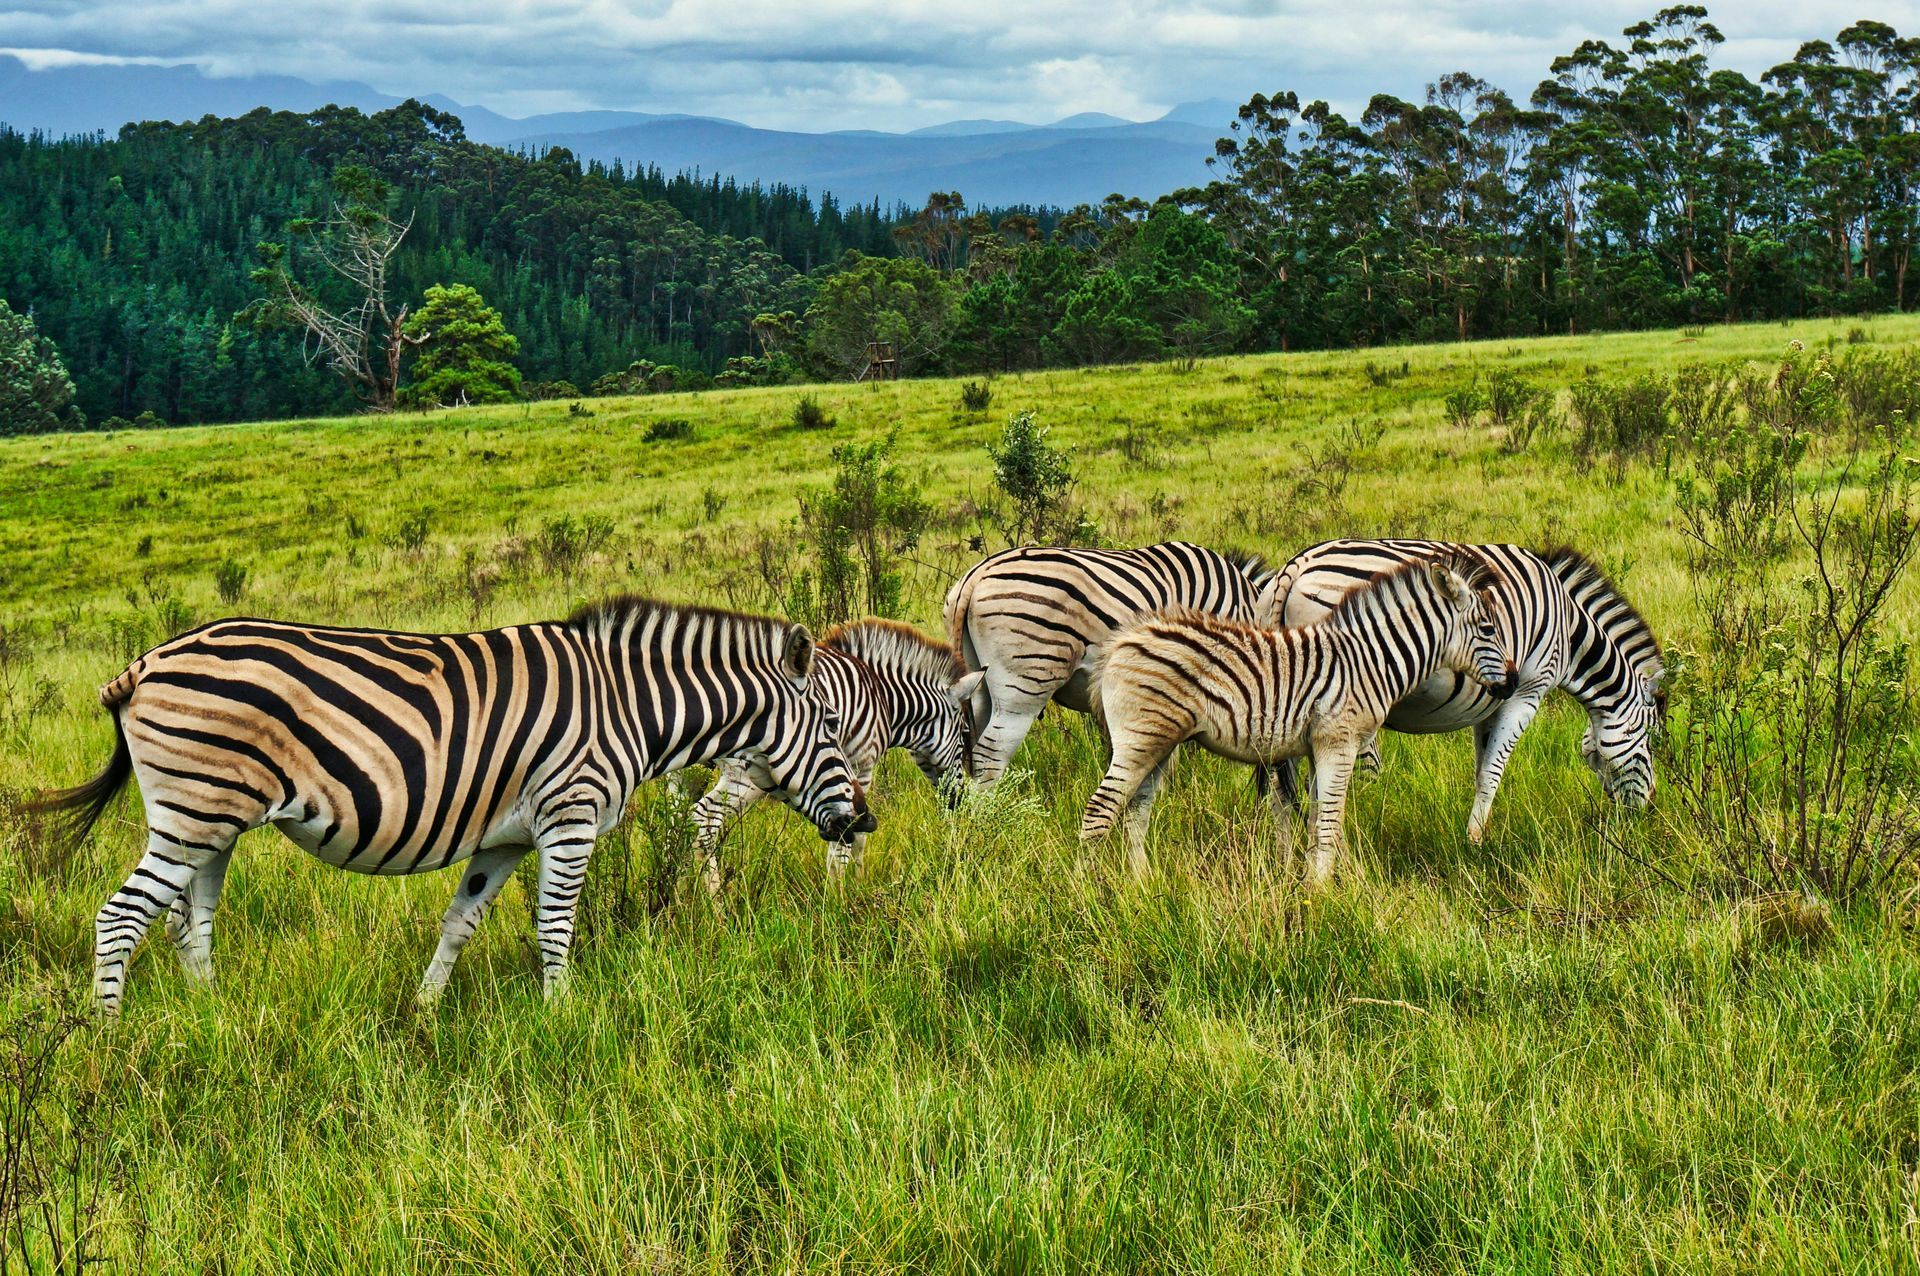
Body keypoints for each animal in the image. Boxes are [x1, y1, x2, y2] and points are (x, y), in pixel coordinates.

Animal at [28, 597, 873, 1015]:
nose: (864, 823)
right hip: (194, 810)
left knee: (188, 923)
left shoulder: (505, 838)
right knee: (122, 917)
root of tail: (142, 664)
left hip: (216, 821)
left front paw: (426, 1011)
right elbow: (555, 925)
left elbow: (460, 922)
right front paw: (562, 1016)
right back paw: (107, 1034)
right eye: (832, 726)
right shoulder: (569, 818)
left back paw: (214, 1020)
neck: (631, 705)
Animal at [690, 618, 984, 888]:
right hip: (749, 777)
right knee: (704, 820)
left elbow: (856, 834)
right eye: (964, 734)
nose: (959, 801)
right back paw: (713, 899)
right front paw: (842, 891)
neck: (884, 697)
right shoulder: (861, 766)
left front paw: (854, 884)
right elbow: (851, 839)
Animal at [1081, 556, 1516, 884]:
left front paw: (1313, 881)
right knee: (1100, 809)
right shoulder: (1338, 742)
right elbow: (1329, 821)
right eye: (1488, 629)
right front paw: (1322, 892)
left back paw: (1142, 885)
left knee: (1136, 811)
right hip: (1141, 738)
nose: (1512, 683)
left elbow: (1318, 819)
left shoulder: (1317, 747)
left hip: (1161, 742)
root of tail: (1122, 640)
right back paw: (1088, 890)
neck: (1369, 659)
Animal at [1256, 540, 1665, 842]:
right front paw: (1476, 842)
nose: (1647, 812)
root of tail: (1297, 566)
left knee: (1279, 785)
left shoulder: (1491, 701)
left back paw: (1284, 851)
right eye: (1651, 745)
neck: (1570, 632)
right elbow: (1493, 771)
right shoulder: (1527, 692)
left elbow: (1482, 767)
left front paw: (1475, 834)